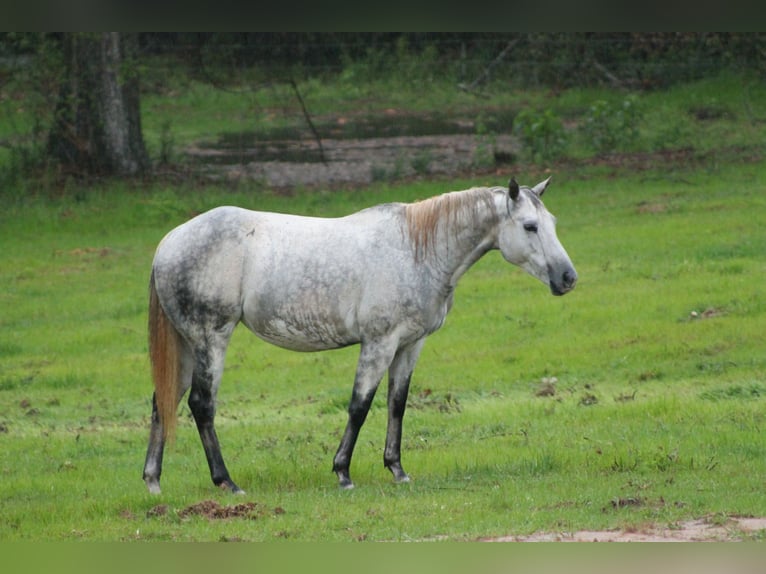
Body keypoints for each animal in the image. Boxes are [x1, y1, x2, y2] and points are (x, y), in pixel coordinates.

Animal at [142, 177, 576, 496]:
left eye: (553, 223)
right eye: (530, 226)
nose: (567, 277)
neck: (417, 250)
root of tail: (167, 244)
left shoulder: (409, 345)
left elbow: (397, 404)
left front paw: (397, 469)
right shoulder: (379, 343)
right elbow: (359, 406)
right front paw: (343, 473)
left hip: (187, 346)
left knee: (164, 401)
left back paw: (153, 481)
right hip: (210, 339)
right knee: (201, 405)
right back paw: (226, 482)